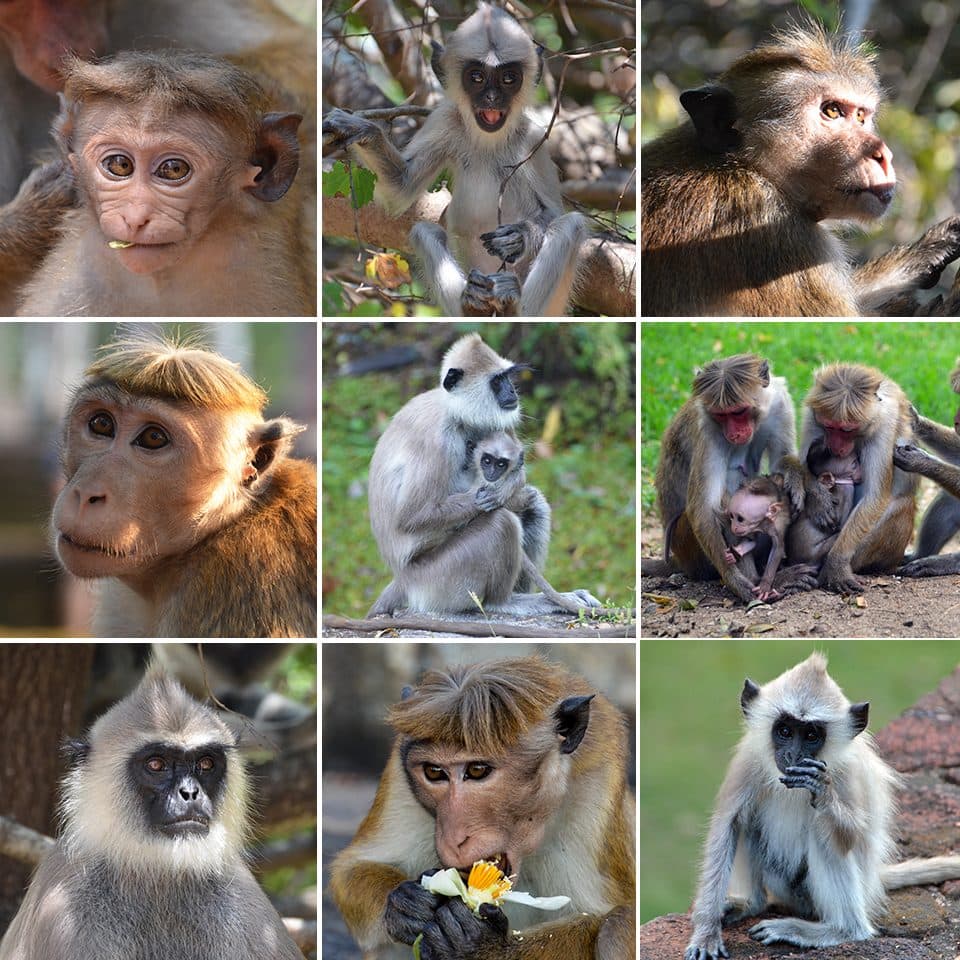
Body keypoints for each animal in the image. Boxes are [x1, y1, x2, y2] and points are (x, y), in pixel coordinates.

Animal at [0, 668, 302, 960]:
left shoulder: (246, 901)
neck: (158, 876)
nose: (189, 793)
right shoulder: (63, 907)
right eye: (156, 764)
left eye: (205, 764)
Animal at [324, 3, 584, 318]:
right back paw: (472, 304)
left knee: (569, 225)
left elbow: (553, 213)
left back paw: (515, 304)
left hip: (551, 305)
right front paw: (362, 130)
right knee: (425, 231)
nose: (492, 97)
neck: (488, 142)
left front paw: (519, 237)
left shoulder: (532, 140)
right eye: (477, 77)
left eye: (508, 79)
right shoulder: (445, 120)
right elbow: (401, 188)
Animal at [368, 330, 600, 616]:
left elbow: (519, 473)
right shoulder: (436, 440)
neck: (456, 413)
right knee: (503, 523)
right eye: (497, 381)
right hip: (436, 580)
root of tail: (402, 580)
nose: (512, 390)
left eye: (508, 378)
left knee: (532, 502)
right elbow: (411, 517)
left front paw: (502, 491)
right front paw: (486, 497)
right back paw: (505, 602)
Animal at [688, 648, 960, 956]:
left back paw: (840, 930)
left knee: (823, 833)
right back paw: (753, 903)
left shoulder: (847, 771)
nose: (793, 756)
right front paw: (706, 932)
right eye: (785, 731)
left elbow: (854, 836)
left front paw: (822, 791)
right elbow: (728, 825)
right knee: (747, 824)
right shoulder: (749, 760)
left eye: (811, 735)